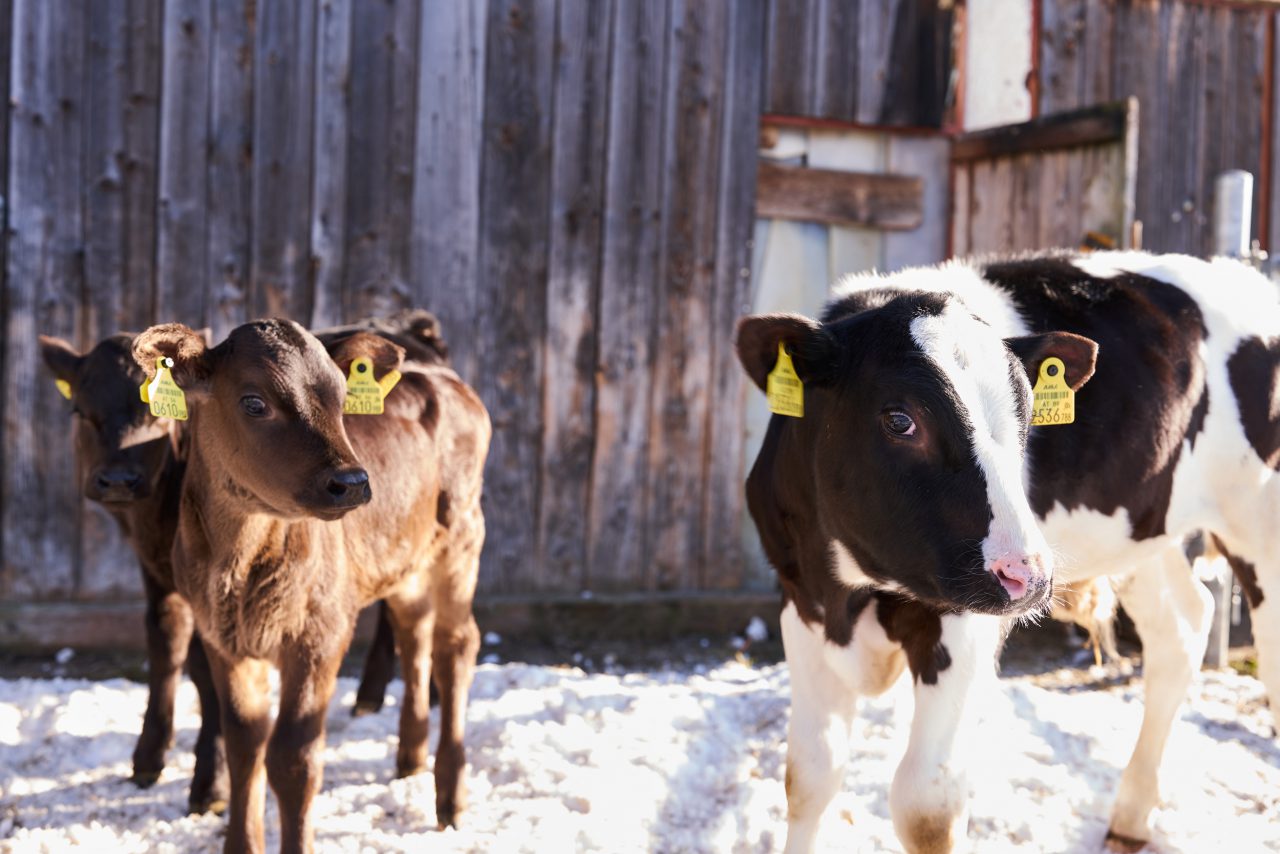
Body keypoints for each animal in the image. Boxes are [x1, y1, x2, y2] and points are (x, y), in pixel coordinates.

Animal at [132, 317, 486, 850]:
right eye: (254, 402)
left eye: (342, 399)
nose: (353, 482)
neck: (240, 560)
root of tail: (443, 376)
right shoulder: (221, 636)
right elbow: (245, 746)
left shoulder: (321, 634)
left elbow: (294, 759)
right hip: (406, 559)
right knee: (414, 633)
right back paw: (409, 759)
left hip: (461, 541)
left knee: (457, 647)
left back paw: (451, 797)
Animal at [742, 252, 1280, 854]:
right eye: (900, 419)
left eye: (1026, 420)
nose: (1031, 576)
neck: (854, 592)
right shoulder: (801, 600)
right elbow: (810, 775)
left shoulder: (962, 625)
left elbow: (926, 809)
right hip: (1148, 533)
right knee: (1181, 625)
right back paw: (1131, 817)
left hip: (1258, 516)